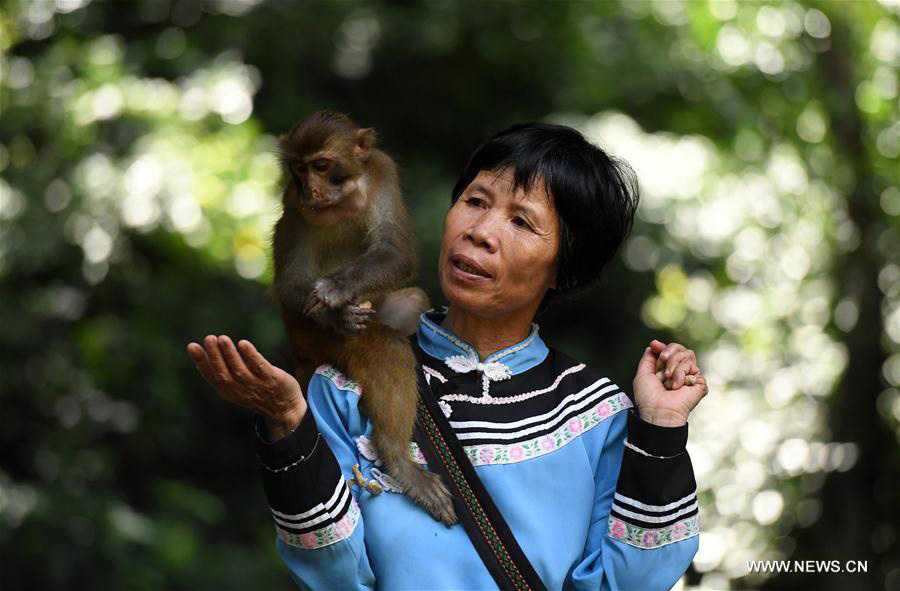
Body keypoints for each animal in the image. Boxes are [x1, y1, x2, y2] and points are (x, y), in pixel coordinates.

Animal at [272, 111, 457, 526]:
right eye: (299, 169)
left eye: (321, 166)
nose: (311, 190)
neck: (343, 197)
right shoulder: (293, 203)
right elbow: (290, 282)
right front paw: (334, 315)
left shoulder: (382, 171)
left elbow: (396, 252)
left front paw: (335, 291)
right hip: (309, 338)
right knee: (383, 346)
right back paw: (397, 458)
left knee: (410, 304)